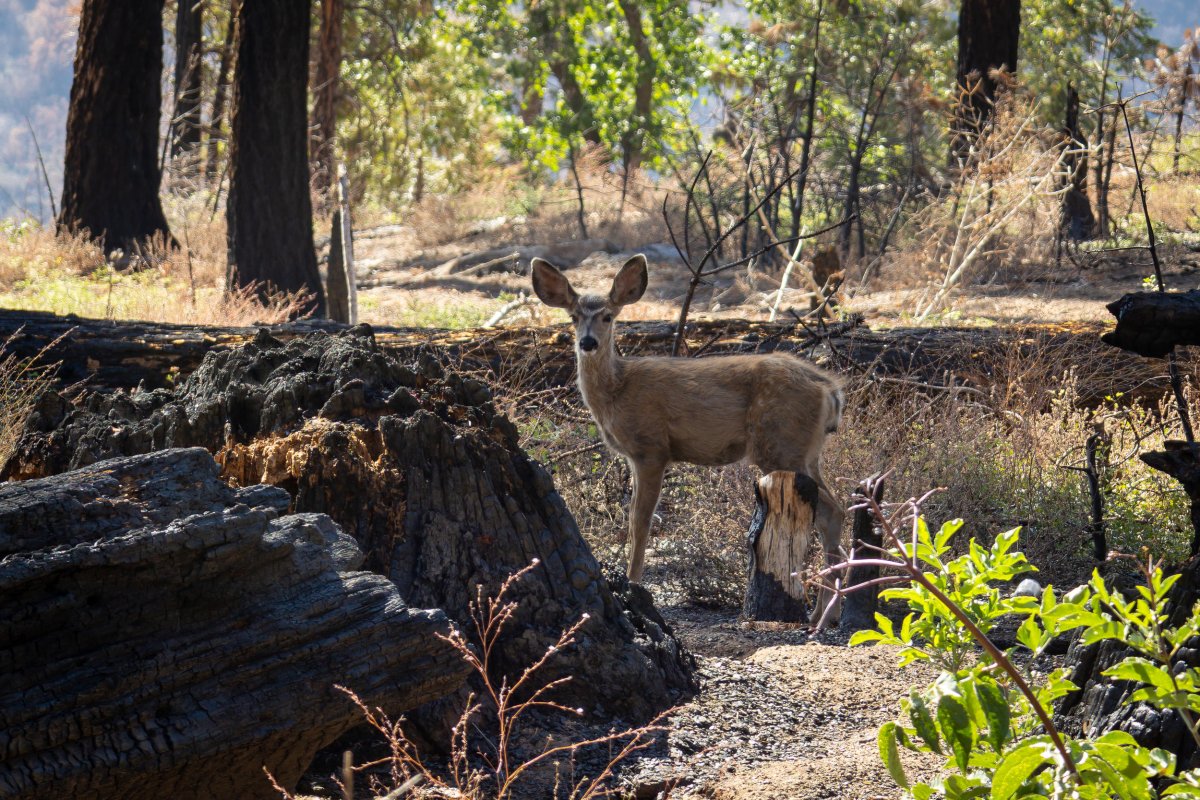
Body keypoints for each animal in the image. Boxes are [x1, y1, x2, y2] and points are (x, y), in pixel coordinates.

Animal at [530, 253, 849, 618]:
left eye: (608, 316)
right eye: (573, 317)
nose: (587, 342)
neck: (617, 391)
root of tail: (830, 390)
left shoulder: (651, 448)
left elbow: (640, 521)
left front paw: (633, 584)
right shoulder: (638, 455)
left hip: (780, 444)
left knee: (832, 512)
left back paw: (823, 614)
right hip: (806, 452)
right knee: (832, 511)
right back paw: (825, 611)